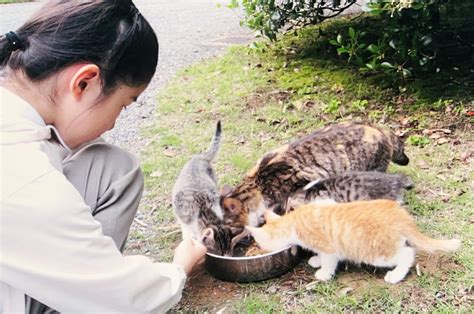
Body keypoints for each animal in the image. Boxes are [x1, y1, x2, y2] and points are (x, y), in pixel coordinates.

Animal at [172, 121, 243, 256]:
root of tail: (200, 157)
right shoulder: (183, 216)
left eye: (229, 255)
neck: (204, 211)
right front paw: (189, 237)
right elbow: (186, 229)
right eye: (220, 254)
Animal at [246, 201, 462, 284]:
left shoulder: (329, 247)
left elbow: (329, 261)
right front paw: (316, 260)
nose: (259, 250)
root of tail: (400, 216)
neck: (294, 221)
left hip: (377, 252)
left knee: (407, 254)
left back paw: (395, 275)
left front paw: (323, 273)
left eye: (261, 246)